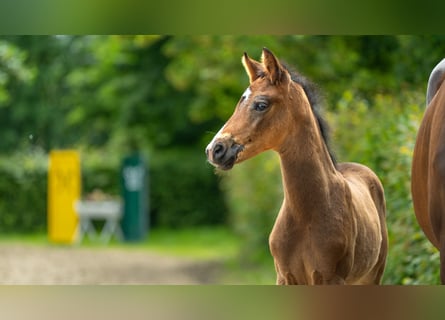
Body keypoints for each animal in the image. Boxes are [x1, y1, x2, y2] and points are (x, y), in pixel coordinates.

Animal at [205, 48, 386, 284]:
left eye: (261, 104)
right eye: (239, 103)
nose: (215, 149)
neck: (306, 215)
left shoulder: (331, 278)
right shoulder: (284, 276)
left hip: (372, 275)